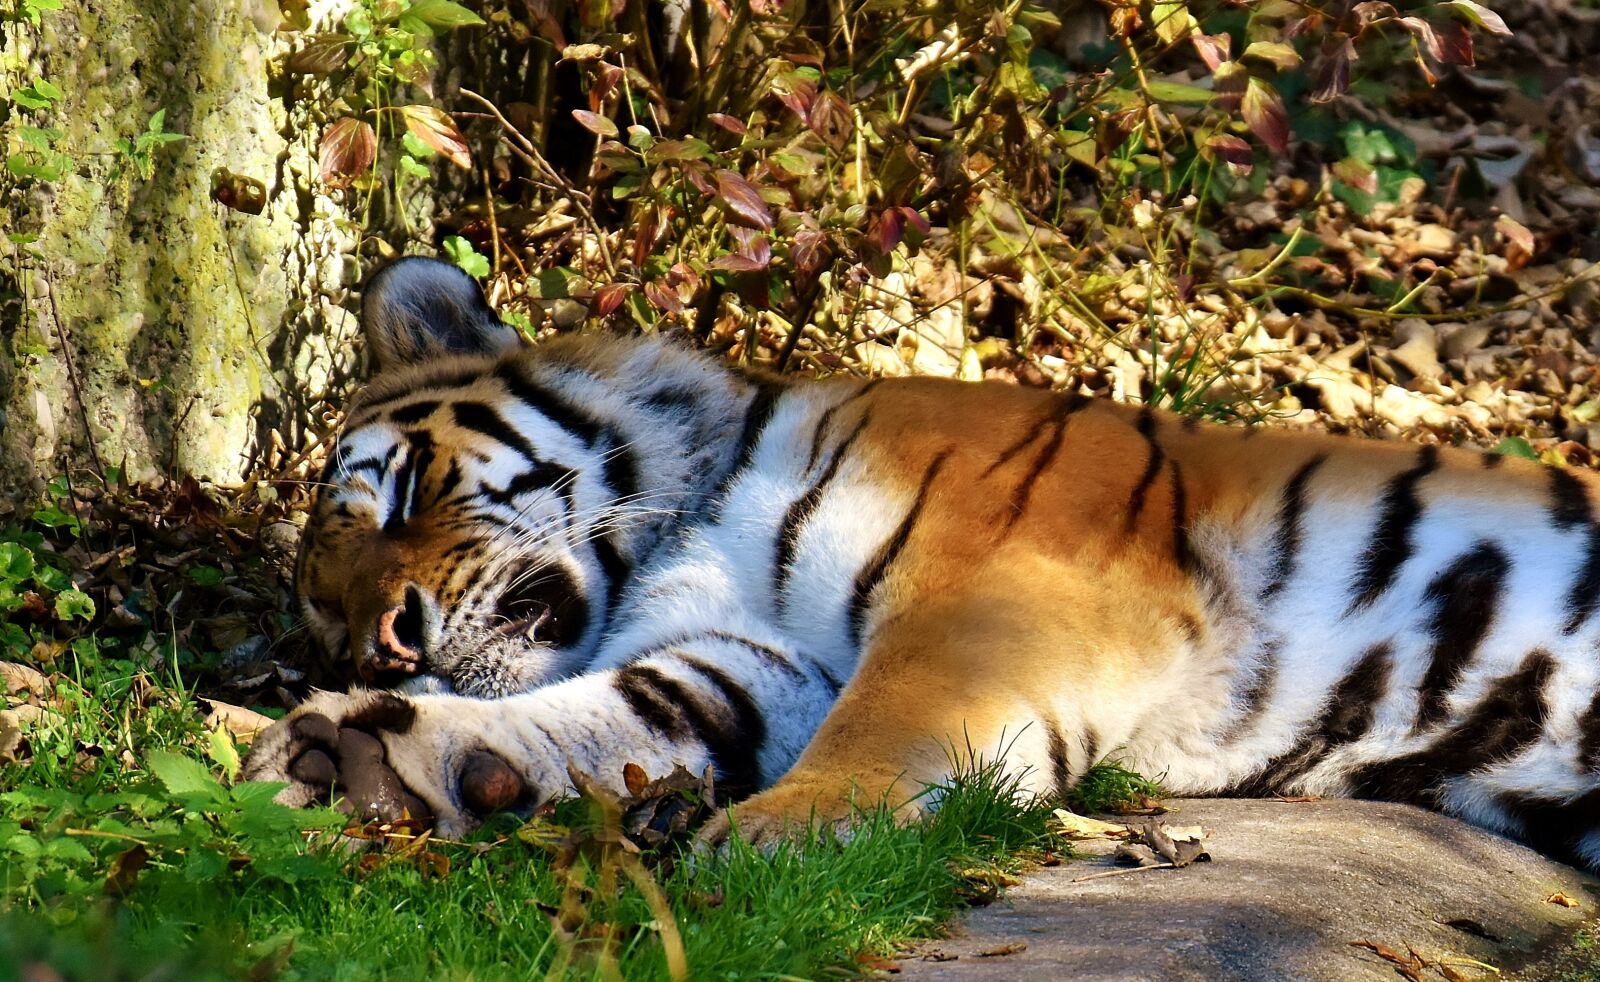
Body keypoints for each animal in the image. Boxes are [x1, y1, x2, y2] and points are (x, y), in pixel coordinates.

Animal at [243, 255, 1600, 867]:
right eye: (324, 624)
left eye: (400, 489)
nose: (384, 645)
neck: (684, 529)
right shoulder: (759, 657)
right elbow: (617, 709)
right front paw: (365, 751)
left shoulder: (998, 583)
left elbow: (890, 719)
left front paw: (767, 835)